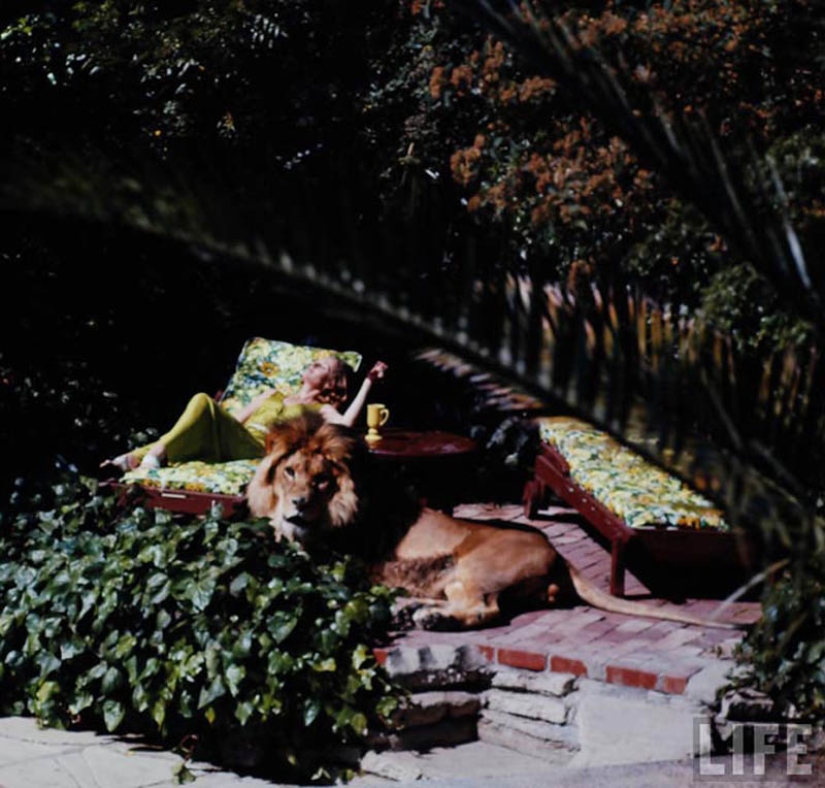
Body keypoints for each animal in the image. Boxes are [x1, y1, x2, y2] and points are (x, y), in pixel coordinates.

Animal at [247, 413, 738, 630]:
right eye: (290, 472)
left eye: (323, 480)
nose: (298, 504)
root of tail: (558, 552)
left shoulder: (337, 564)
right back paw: (411, 608)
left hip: (474, 567)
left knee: (486, 609)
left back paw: (428, 619)